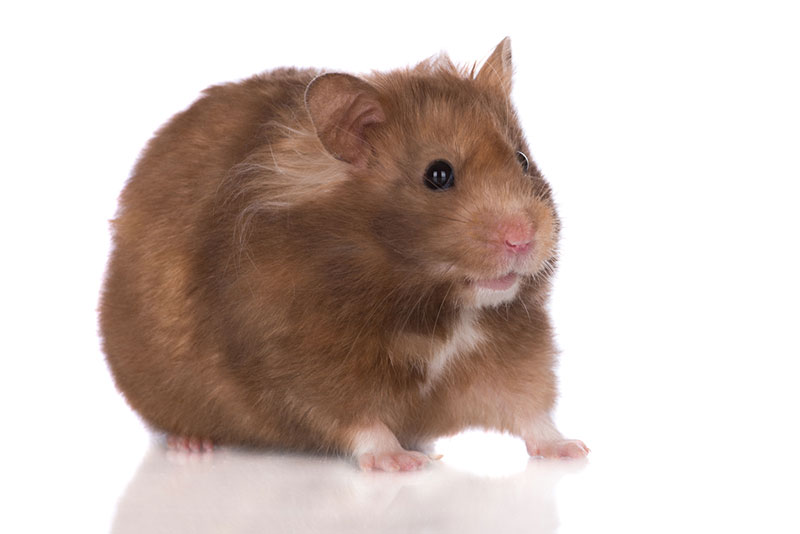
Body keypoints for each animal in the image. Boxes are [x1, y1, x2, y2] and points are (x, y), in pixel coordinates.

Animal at [99, 38, 588, 471]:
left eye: (522, 160)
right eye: (438, 175)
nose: (523, 239)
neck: (437, 306)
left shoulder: (511, 346)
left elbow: (529, 407)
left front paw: (573, 450)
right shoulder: (305, 362)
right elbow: (359, 419)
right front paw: (400, 463)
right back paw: (193, 445)